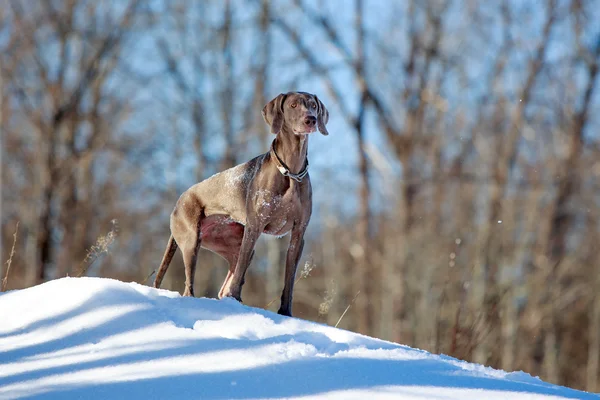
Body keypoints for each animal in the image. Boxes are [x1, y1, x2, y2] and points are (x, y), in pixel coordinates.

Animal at [151, 92, 328, 318]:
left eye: (313, 105)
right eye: (293, 105)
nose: (310, 120)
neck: (290, 171)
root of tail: (177, 202)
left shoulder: (298, 234)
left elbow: (289, 279)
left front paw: (285, 312)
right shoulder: (254, 227)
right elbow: (242, 270)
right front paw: (235, 299)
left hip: (228, 242)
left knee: (224, 284)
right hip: (191, 241)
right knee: (190, 286)